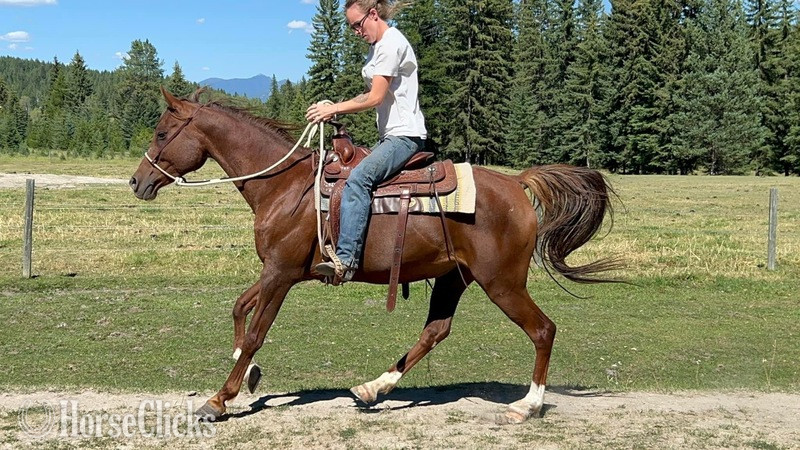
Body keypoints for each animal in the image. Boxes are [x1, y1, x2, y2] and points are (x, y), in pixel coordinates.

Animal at [129, 87, 620, 424]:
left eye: (161, 132)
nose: (137, 182)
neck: (286, 187)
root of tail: (517, 184)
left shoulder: (281, 273)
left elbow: (255, 332)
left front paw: (219, 399)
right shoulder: (277, 270)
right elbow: (238, 308)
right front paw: (248, 374)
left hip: (503, 283)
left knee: (542, 330)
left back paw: (527, 406)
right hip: (454, 277)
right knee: (435, 331)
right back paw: (373, 386)